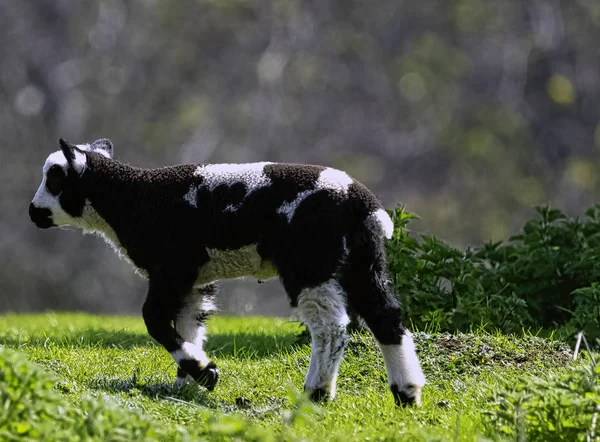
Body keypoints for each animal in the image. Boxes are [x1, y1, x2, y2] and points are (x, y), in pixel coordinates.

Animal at [25, 140, 424, 406]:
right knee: (386, 316)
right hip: (362, 260)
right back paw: (406, 393)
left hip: (310, 261)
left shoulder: (171, 267)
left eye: (55, 179)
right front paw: (188, 383)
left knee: (331, 329)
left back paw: (317, 393)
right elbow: (189, 323)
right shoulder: (193, 281)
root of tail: (362, 203)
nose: (32, 211)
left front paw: (203, 371)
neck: (133, 199)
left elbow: (153, 319)